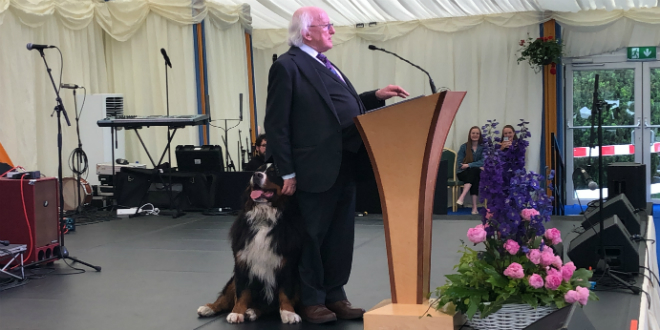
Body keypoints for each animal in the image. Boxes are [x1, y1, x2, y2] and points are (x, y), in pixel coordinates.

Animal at [196, 164, 304, 324]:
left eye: (274, 172)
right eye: (258, 169)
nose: (256, 175)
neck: (264, 218)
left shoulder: (287, 263)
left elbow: (286, 291)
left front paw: (288, 313)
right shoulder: (242, 262)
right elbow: (242, 292)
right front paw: (237, 313)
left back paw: (252, 311)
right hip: (232, 281)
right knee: (225, 297)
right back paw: (209, 308)